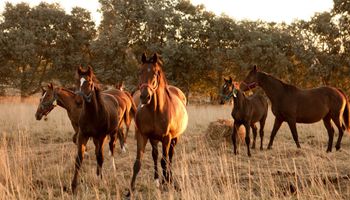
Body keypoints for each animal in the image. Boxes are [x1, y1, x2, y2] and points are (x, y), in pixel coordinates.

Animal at [70, 66, 121, 194]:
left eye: (89, 81)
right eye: (77, 81)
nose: (78, 100)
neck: (92, 114)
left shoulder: (101, 136)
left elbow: (100, 157)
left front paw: (101, 181)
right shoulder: (83, 135)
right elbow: (79, 159)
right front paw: (73, 186)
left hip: (112, 133)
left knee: (111, 148)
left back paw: (112, 170)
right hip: (95, 138)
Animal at [128, 53, 189, 195]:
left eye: (155, 73)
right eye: (140, 71)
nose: (145, 97)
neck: (155, 110)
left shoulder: (166, 138)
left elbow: (164, 161)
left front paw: (166, 184)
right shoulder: (142, 135)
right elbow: (138, 163)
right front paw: (130, 191)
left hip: (174, 138)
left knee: (169, 157)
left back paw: (169, 181)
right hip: (154, 139)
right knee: (155, 155)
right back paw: (158, 181)